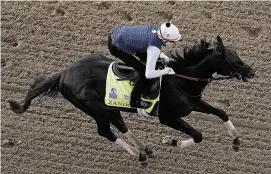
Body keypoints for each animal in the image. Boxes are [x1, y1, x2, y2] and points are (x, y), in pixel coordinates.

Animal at [8, 35, 255, 166]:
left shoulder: (194, 103)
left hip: (109, 107)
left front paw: (236, 140)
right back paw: (140, 155)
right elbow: (198, 135)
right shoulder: (168, 118)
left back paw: (145, 149)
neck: (181, 80)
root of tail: (63, 74)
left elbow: (222, 113)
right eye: (234, 60)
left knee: (120, 125)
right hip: (96, 109)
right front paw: (173, 142)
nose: (252, 72)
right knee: (106, 132)